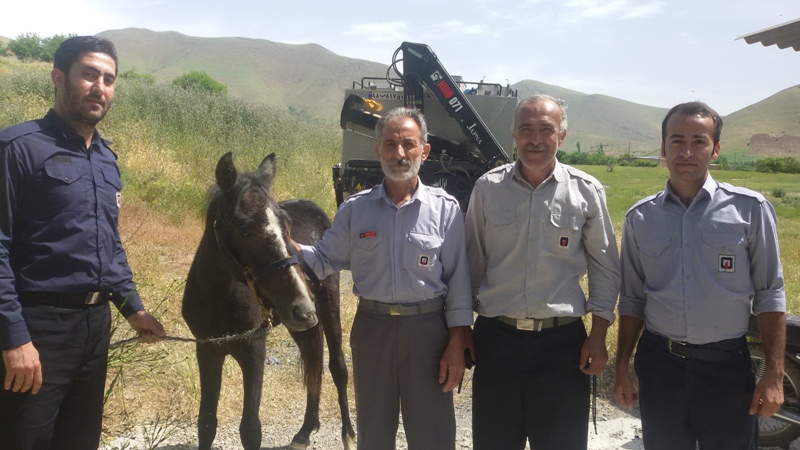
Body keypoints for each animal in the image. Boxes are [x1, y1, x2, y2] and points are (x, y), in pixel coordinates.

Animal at [184, 153, 356, 448]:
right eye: (244, 229)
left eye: (287, 225)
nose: (304, 306)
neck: (219, 297)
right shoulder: (207, 350)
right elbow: (206, 424)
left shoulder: (254, 350)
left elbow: (251, 429)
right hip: (295, 321)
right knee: (313, 362)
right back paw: (305, 431)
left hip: (326, 306)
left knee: (337, 367)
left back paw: (348, 435)